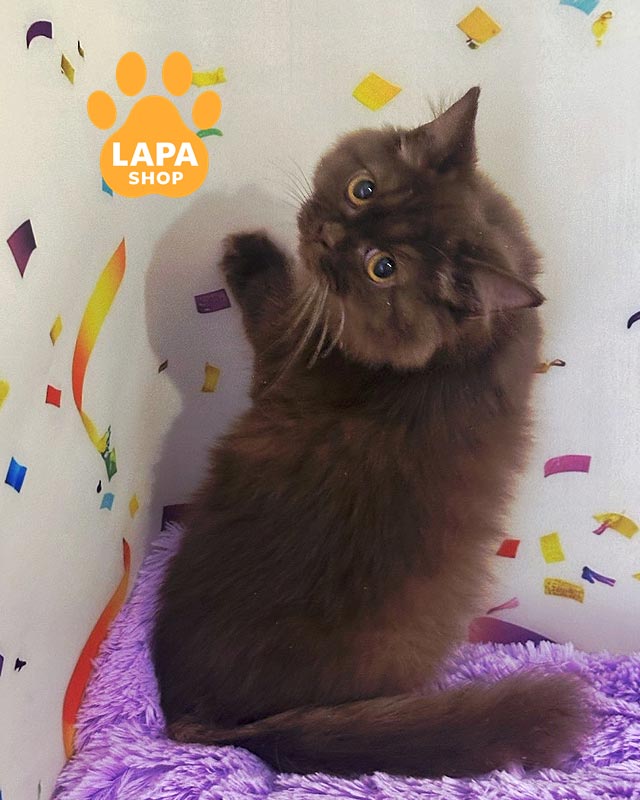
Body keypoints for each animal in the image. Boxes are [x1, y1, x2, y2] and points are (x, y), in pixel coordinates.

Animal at [152, 87, 592, 778]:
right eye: (363, 189)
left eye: (382, 268)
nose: (329, 232)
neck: (458, 350)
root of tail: (213, 722)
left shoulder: (284, 351)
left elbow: (273, 306)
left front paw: (249, 253)